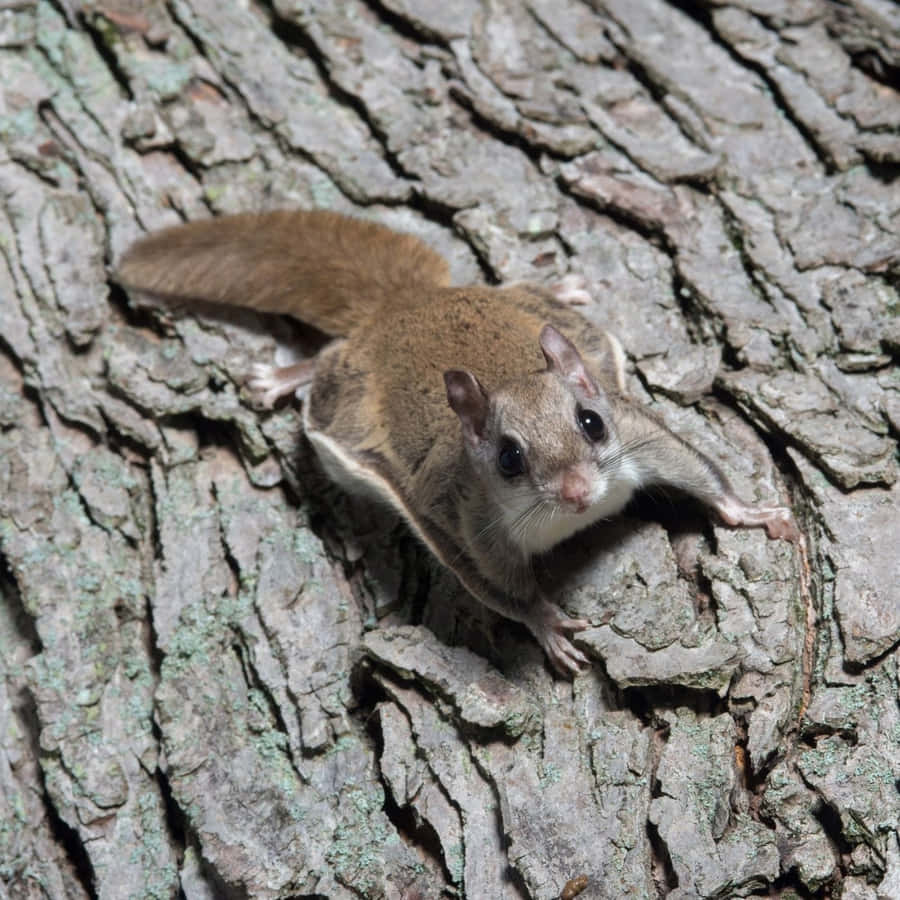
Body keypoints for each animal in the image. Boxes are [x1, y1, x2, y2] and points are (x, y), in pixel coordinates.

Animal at [118, 210, 799, 676]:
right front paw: (548, 624)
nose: (579, 492)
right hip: (346, 393)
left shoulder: (641, 435)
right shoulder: (465, 522)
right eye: (508, 458)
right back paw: (284, 377)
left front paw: (752, 512)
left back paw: (559, 287)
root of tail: (403, 304)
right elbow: (498, 587)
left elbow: (699, 469)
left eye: (592, 423)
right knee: (326, 364)